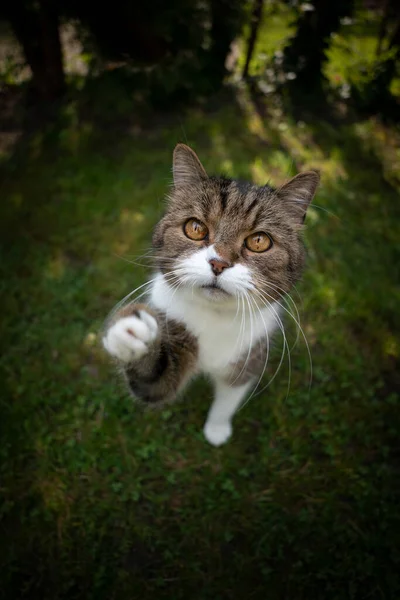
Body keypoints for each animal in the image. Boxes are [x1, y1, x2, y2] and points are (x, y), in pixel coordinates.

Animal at [103, 144, 318, 446]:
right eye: (195, 228)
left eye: (259, 241)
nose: (218, 263)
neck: (215, 316)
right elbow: (155, 380)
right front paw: (130, 331)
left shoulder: (250, 356)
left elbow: (228, 399)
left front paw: (217, 430)